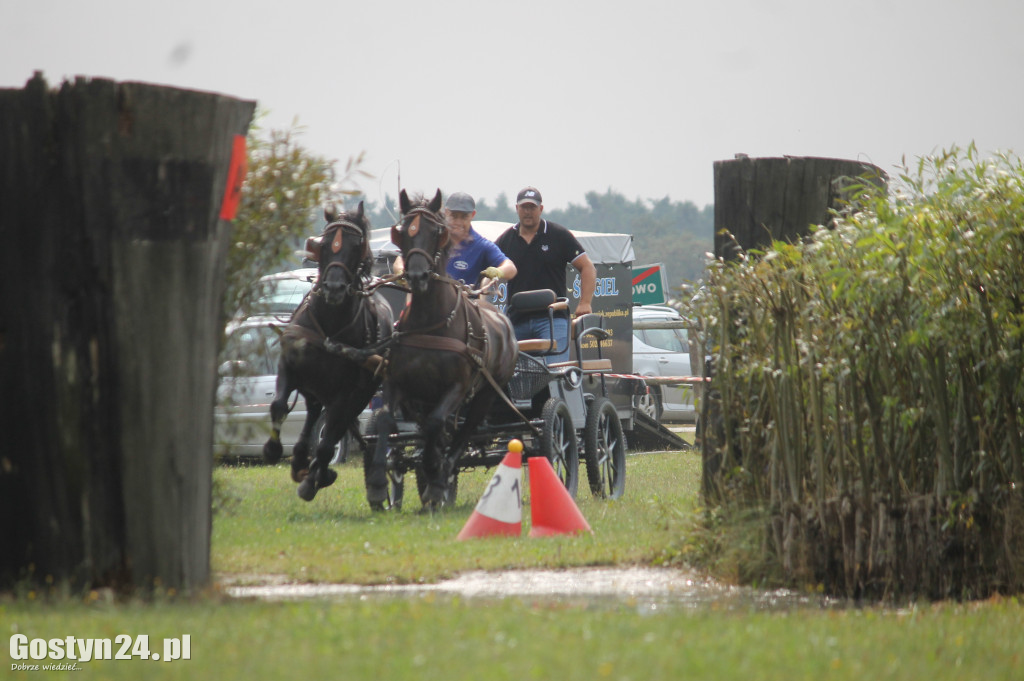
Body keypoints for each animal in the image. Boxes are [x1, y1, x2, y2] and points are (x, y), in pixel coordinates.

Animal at [262, 201, 393, 499]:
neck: (329, 326)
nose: (333, 287)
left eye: (356, 245)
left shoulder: (345, 394)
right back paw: (300, 458)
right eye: (324, 243)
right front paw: (273, 448)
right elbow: (278, 405)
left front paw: (314, 479)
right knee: (312, 413)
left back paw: (315, 472)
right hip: (316, 387)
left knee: (335, 427)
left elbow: (327, 441)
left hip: (358, 395)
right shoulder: (289, 367)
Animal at [366, 188, 516, 507]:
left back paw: (441, 473)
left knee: (464, 432)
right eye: (402, 231)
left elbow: (437, 424)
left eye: (435, 231)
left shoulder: (457, 387)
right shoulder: (397, 383)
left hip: (486, 393)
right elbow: (386, 418)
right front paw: (378, 483)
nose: (417, 276)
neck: (430, 324)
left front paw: (436, 478)